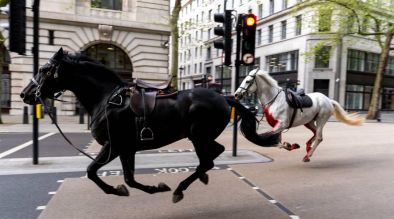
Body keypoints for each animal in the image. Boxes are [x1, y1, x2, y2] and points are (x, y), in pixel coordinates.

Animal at [20, 48, 280, 203]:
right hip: (201, 136)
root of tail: (225, 98)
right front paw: (145, 188)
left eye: (44, 69)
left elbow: (93, 171)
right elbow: (128, 179)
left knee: (208, 159)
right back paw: (200, 177)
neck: (106, 98)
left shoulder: (114, 146)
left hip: (198, 136)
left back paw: (180, 189)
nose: (25, 94)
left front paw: (120, 190)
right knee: (214, 154)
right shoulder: (126, 148)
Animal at [234, 69, 364, 162]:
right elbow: (277, 141)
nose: (236, 94)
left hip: (321, 120)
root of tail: (328, 100)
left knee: (319, 137)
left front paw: (291, 145)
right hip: (309, 122)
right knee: (315, 133)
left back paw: (308, 155)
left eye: (247, 81)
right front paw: (291, 145)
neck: (274, 100)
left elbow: (272, 140)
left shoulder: (281, 125)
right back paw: (308, 148)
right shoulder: (277, 126)